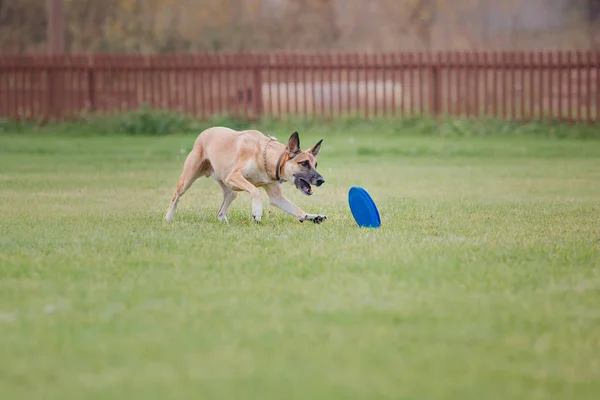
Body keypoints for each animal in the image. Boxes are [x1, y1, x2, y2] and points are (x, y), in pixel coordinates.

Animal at [164, 126, 328, 223]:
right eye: (304, 163)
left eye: (315, 165)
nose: (321, 180)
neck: (266, 157)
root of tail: (205, 132)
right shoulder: (235, 176)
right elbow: (255, 190)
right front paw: (257, 212)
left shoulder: (276, 196)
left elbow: (295, 209)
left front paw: (311, 216)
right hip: (188, 178)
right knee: (176, 196)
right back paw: (168, 217)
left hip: (230, 190)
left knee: (222, 208)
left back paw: (223, 221)